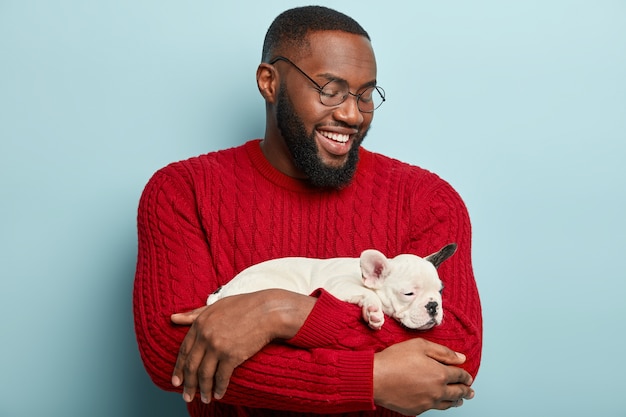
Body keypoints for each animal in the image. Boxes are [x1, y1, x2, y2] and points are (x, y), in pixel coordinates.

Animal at [207, 242, 456, 330]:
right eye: (409, 293)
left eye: (440, 291)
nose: (433, 306)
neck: (363, 275)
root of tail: (223, 291)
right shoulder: (339, 285)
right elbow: (369, 295)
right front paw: (373, 312)